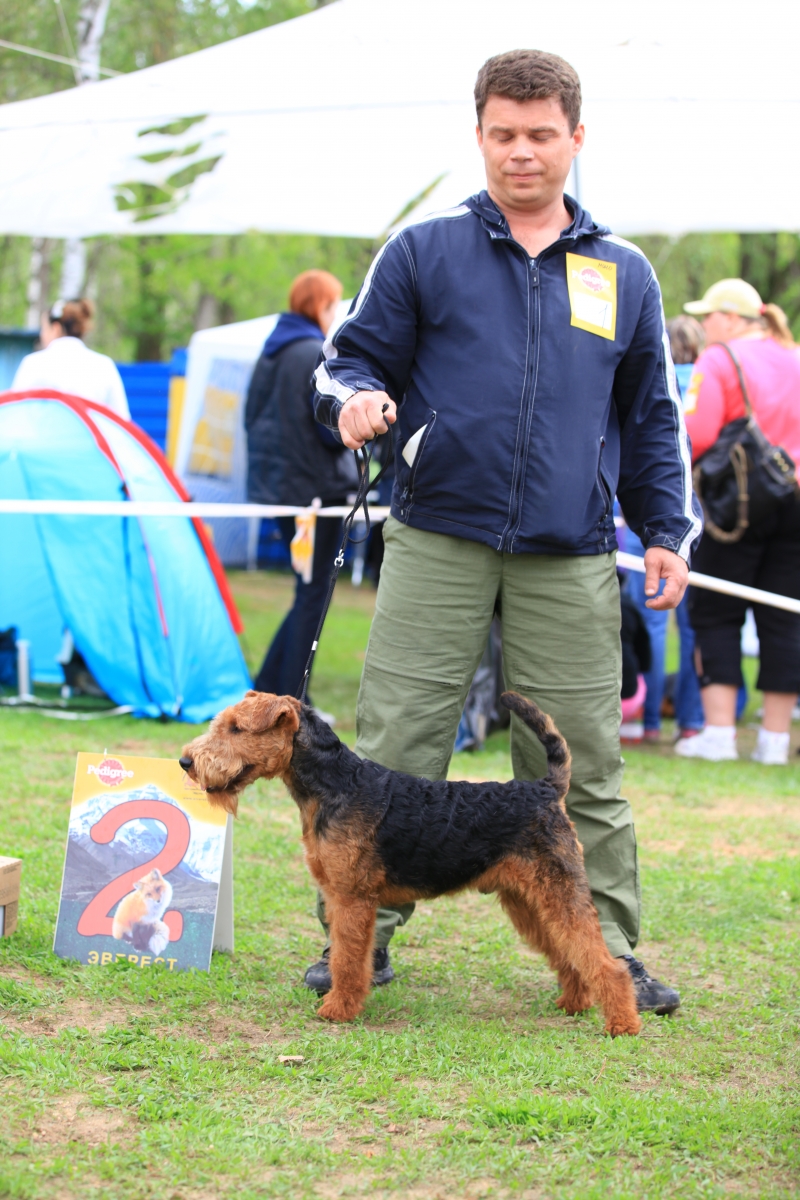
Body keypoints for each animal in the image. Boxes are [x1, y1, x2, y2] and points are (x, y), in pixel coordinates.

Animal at [178, 691, 642, 1036]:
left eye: (237, 728)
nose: (186, 762)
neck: (335, 785)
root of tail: (547, 789)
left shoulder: (352, 898)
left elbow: (349, 960)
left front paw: (338, 1010)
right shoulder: (340, 896)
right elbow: (347, 955)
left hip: (559, 892)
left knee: (605, 961)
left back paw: (622, 1023)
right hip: (528, 900)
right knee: (569, 953)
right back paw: (574, 1003)